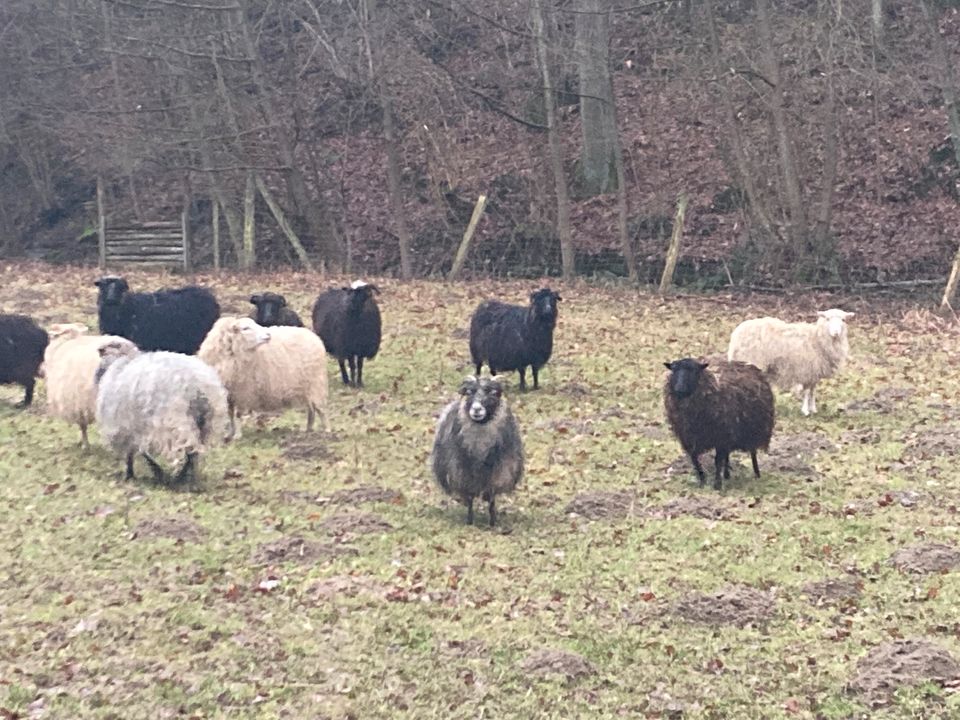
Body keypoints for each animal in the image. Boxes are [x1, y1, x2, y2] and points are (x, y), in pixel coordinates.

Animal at [94, 338, 231, 484]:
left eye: (112, 345)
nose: (99, 349)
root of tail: (197, 387)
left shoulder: (125, 427)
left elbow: (136, 452)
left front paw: (134, 474)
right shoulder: (134, 427)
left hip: (171, 424)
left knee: (188, 449)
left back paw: (179, 477)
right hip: (205, 424)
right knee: (194, 451)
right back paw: (184, 476)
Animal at [197, 316, 332, 438]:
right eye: (245, 328)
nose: (268, 335)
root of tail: (312, 335)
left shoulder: (242, 391)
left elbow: (237, 414)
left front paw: (237, 435)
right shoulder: (229, 394)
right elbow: (230, 414)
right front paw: (230, 434)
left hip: (316, 383)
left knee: (320, 409)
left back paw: (327, 431)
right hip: (307, 387)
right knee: (311, 409)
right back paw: (308, 429)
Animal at [434, 376, 524, 524]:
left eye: (493, 393)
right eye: (469, 392)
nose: (476, 409)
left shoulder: (498, 474)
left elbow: (492, 499)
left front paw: (492, 522)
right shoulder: (463, 474)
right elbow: (470, 498)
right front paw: (470, 521)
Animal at [664, 358, 776, 492]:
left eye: (695, 371)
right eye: (674, 370)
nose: (679, 388)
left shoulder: (720, 437)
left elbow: (717, 461)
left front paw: (717, 484)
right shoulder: (690, 438)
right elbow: (695, 460)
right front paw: (702, 481)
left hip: (753, 430)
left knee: (752, 452)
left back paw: (756, 474)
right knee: (727, 455)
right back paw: (727, 474)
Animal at [728, 306, 856, 416]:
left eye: (843, 320)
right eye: (827, 319)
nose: (836, 332)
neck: (817, 339)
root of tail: (736, 334)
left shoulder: (814, 372)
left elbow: (813, 391)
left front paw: (813, 409)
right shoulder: (807, 370)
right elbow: (806, 392)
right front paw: (805, 410)